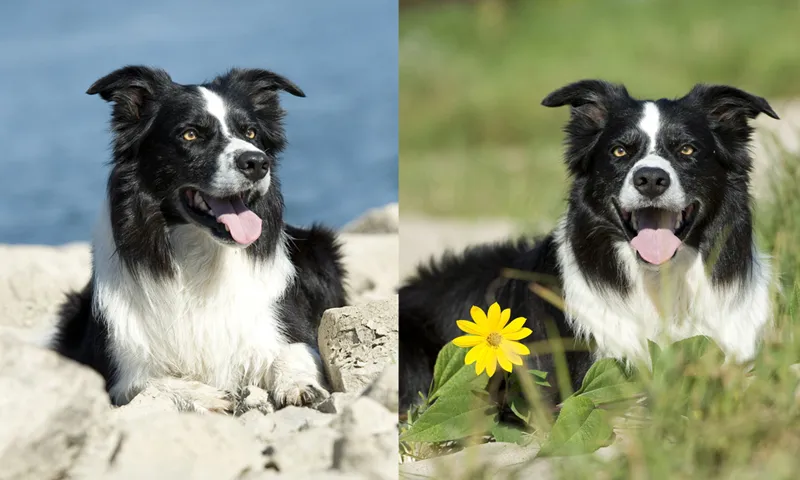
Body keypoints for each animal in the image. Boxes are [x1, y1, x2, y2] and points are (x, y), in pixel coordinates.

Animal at [51, 66, 346, 412]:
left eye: (251, 133)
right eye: (190, 134)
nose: (257, 163)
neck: (202, 254)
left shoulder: (283, 327)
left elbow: (294, 352)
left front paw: (299, 385)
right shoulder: (121, 371)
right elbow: (147, 383)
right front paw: (206, 394)